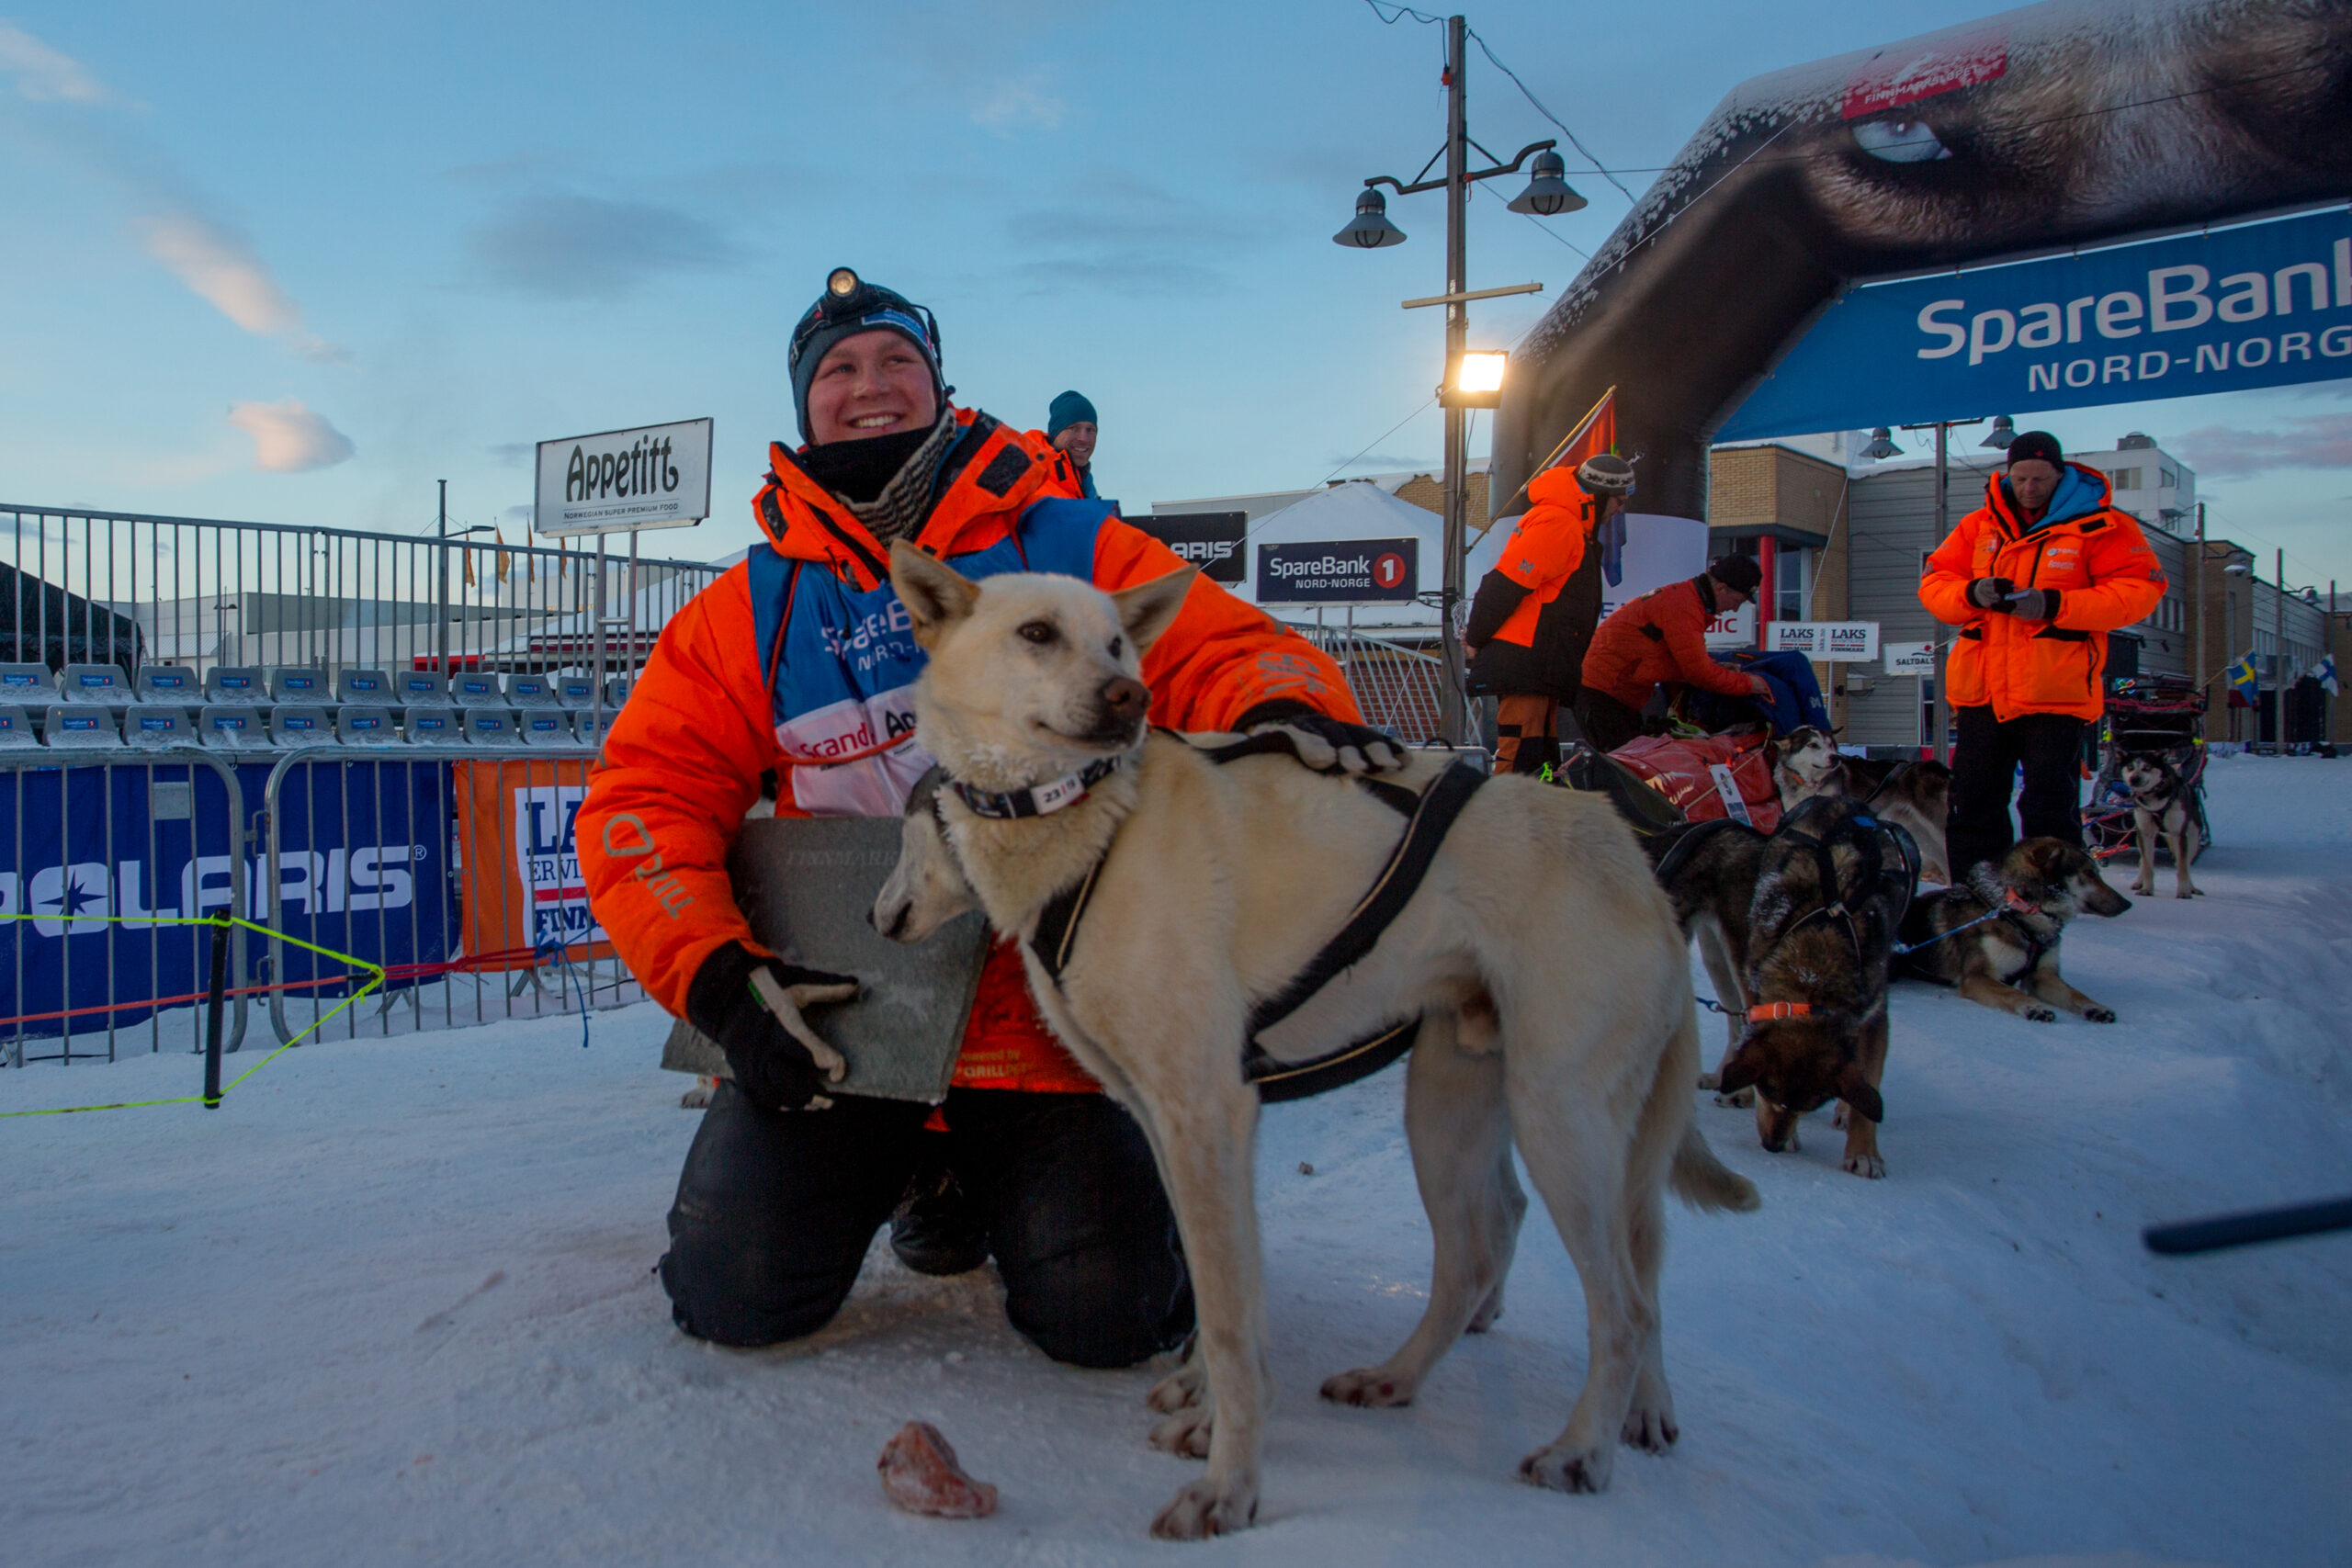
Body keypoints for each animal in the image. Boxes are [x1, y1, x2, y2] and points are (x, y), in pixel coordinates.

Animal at [875, 545, 1758, 1541]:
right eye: (1036, 633)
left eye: (1117, 645)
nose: (1128, 698)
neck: (1096, 821)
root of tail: (1634, 860)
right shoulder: (1170, 1122)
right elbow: (1227, 1294)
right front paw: (1206, 1406)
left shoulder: (1207, 1113)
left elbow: (1228, 1316)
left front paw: (1228, 1485)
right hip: (1452, 1114)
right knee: (1492, 1250)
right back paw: (1406, 1378)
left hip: (1561, 1121)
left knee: (1627, 1302)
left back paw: (1584, 1449)